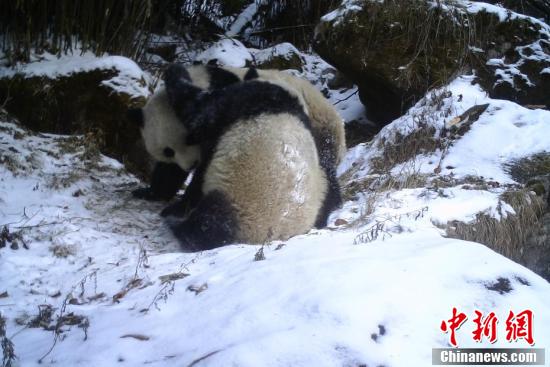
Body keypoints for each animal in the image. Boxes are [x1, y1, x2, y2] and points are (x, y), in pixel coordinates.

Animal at [131, 64, 342, 253]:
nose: (190, 164)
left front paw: (174, 71)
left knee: (211, 223)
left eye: (190, 138)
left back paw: (178, 224)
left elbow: (198, 109)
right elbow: (171, 172)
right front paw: (150, 192)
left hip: (242, 198)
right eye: (168, 151)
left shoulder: (232, 104)